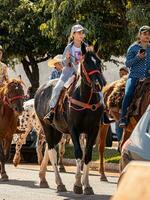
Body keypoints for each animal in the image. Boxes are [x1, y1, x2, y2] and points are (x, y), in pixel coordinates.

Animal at [34, 44, 104, 195]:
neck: (86, 99)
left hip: (57, 131)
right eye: (86, 63)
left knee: (49, 149)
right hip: (47, 127)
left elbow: (87, 155)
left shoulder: (93, 130)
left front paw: (87, 185)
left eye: (99, 62)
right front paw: (77, 184)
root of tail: (40, 89)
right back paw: (59, 183)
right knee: (52, 151)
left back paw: (43, 178)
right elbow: (78, 153)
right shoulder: (74, 129)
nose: (98, 84)